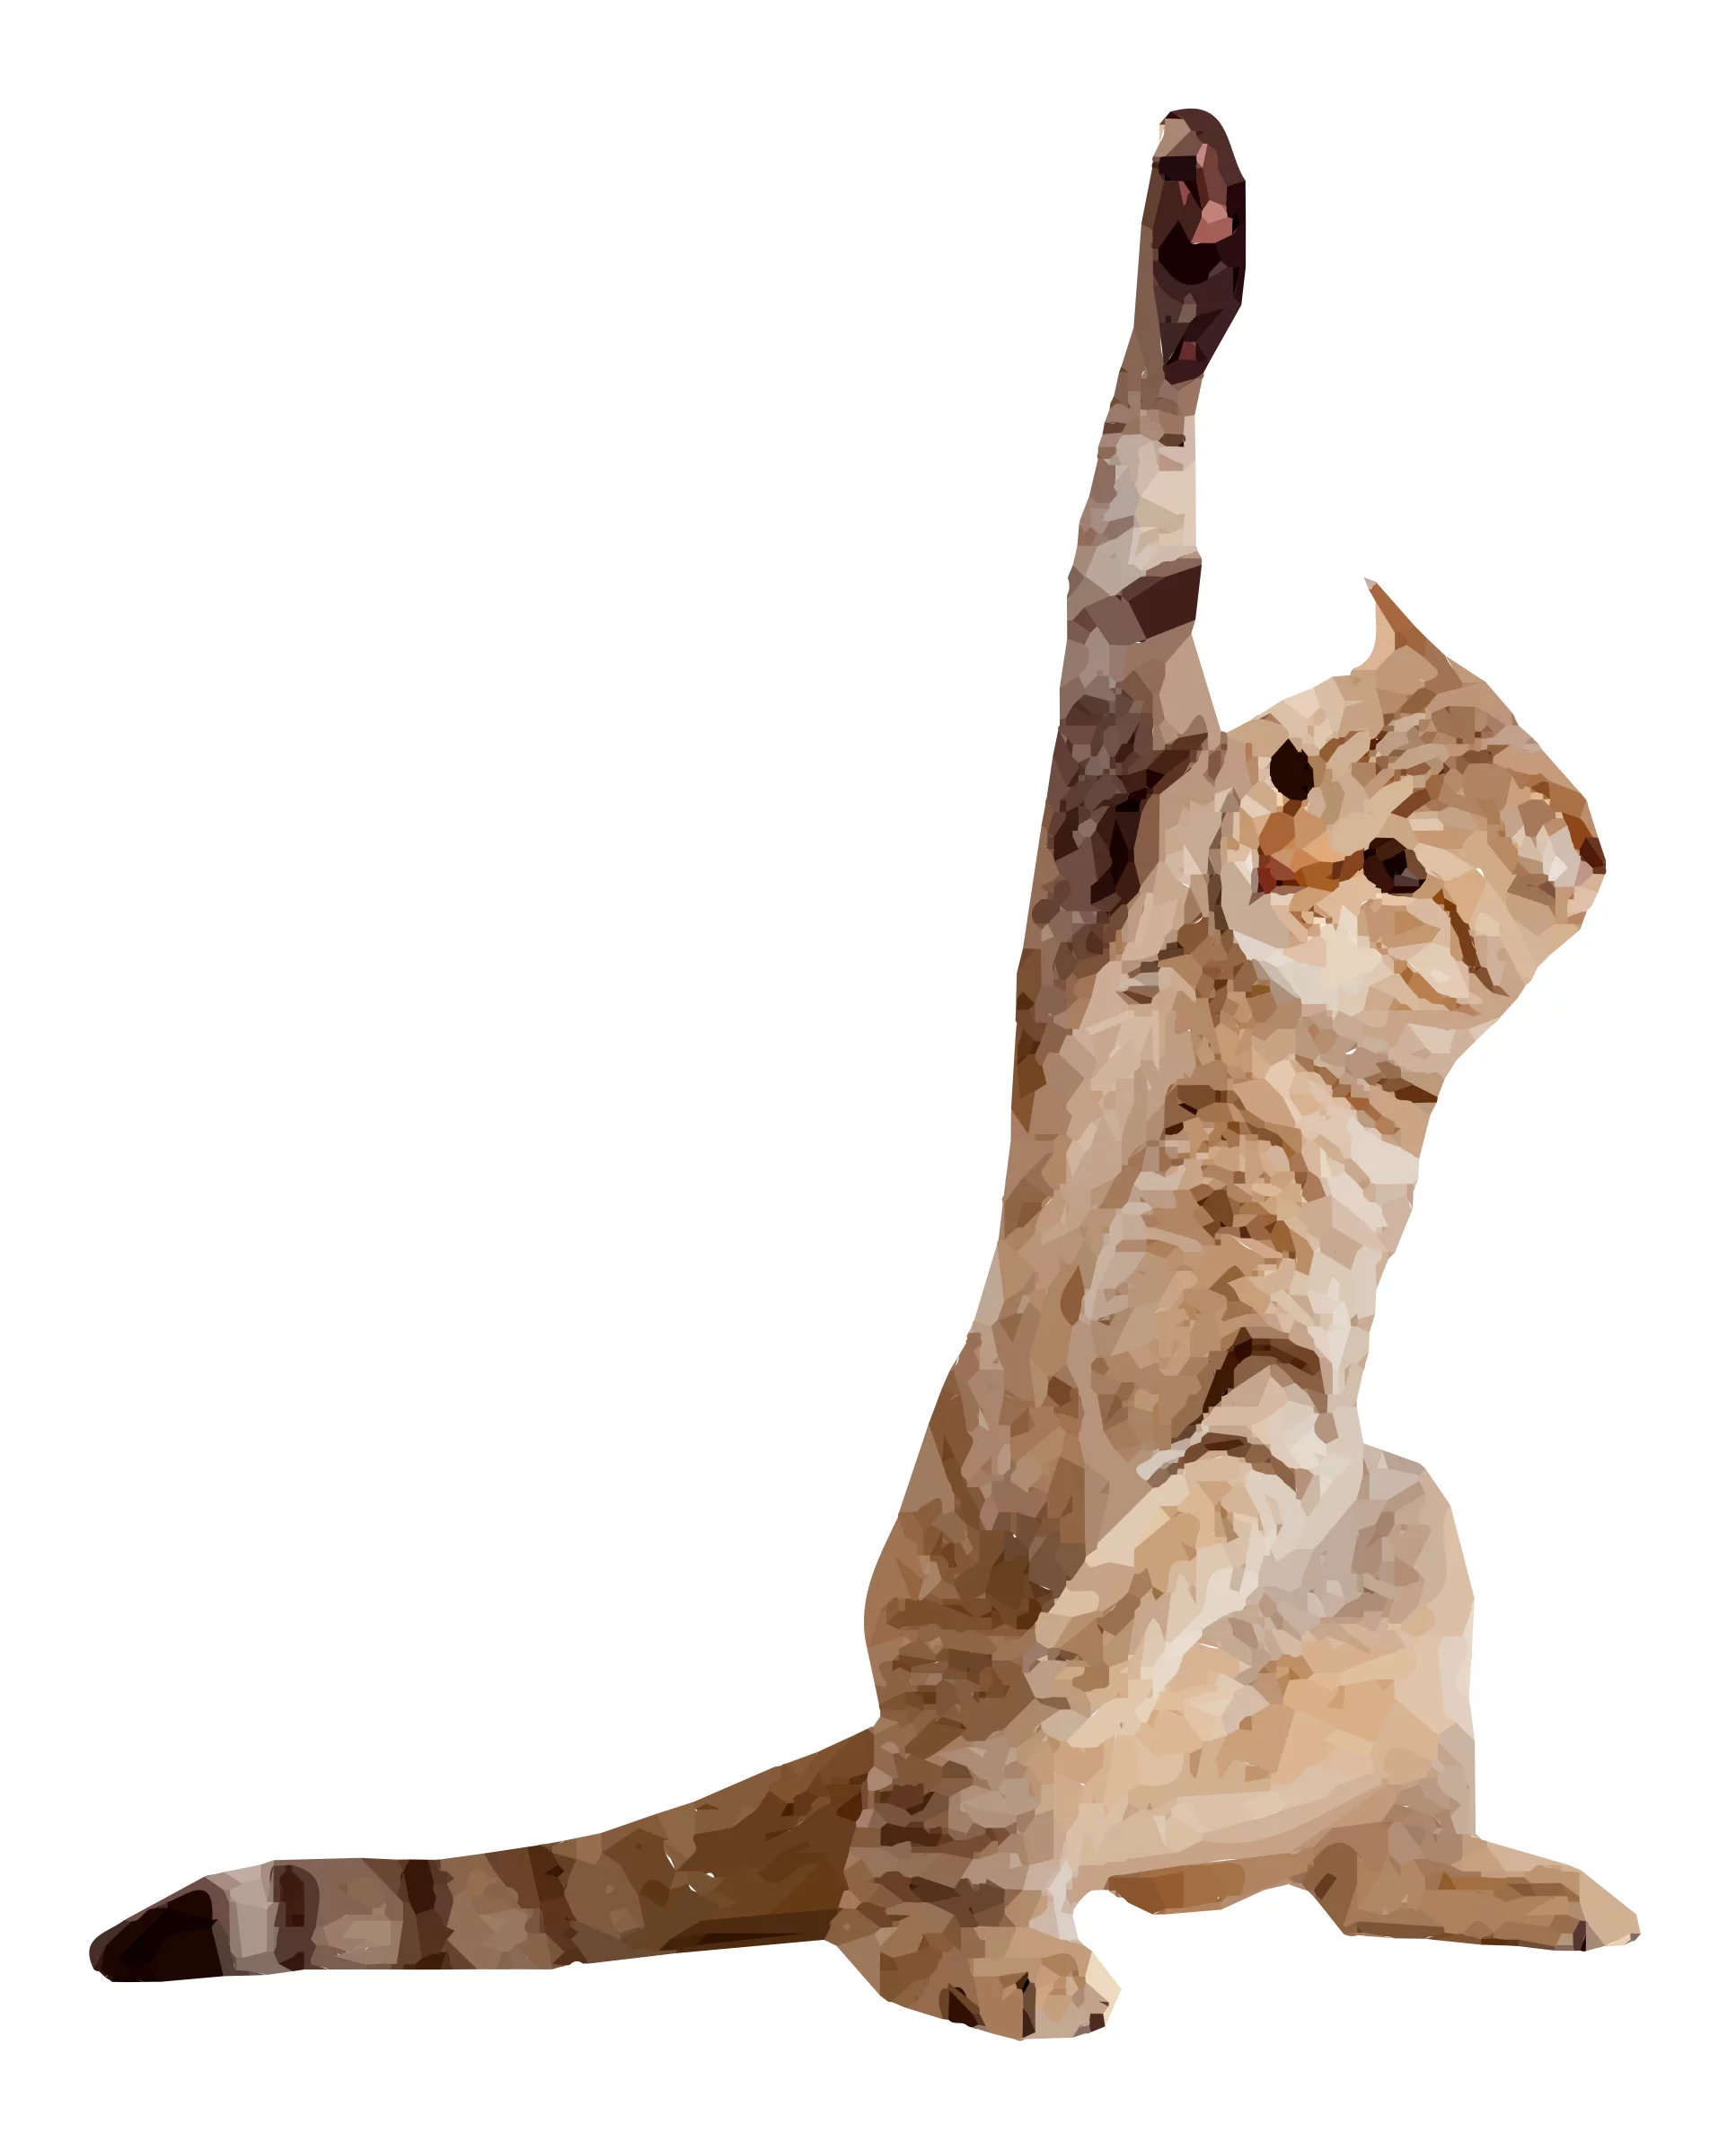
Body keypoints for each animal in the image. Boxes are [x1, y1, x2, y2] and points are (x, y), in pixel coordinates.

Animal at [88, 113, 1635, 2029]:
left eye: (1397, 867)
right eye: (1286, 771)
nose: (1280, 863)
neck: (1247, 1018)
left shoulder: (1290, 1344)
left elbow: (1219, 1484)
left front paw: (1110, 1621)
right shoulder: (1110, 787)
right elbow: (1137, 541)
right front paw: (1192, 250)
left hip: (1407, 1521)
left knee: (1354, 1873)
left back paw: (1503, 1877)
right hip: (979, 1741)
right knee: (887, 1913)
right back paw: (1009, 1948)